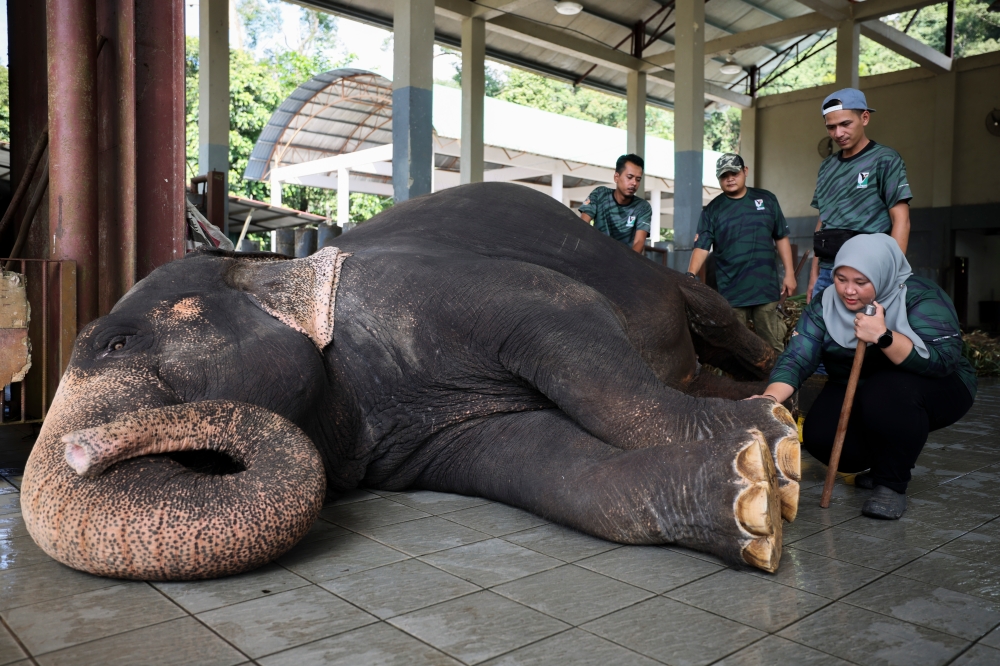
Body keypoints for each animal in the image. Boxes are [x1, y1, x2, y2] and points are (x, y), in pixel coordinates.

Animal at [19, 180, 800, 576]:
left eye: (117, 341)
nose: (79, 452)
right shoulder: (415, 438)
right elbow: (555, 470)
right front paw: (756, 501)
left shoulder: (439, 289)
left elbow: (573, 323)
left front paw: (776, 445)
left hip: (670, 278)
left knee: (712, 314)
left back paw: (777, 385)